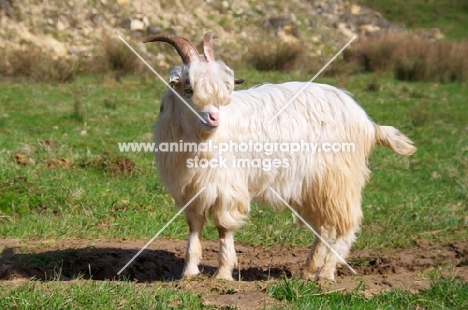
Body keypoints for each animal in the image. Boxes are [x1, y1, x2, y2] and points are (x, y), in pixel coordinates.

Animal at [144, 32, 414, 280]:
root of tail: (367, 122)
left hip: (339, 180)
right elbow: (194, 228)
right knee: (325, 228)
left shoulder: (227, 187)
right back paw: (308, 270)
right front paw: (188, 273)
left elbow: (223, 228)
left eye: (224, 91)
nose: (214, 118)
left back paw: (326, 273)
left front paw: (223, 274)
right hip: (315, 187)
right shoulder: (190, 188)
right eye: (188, 88)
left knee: (347, 224)